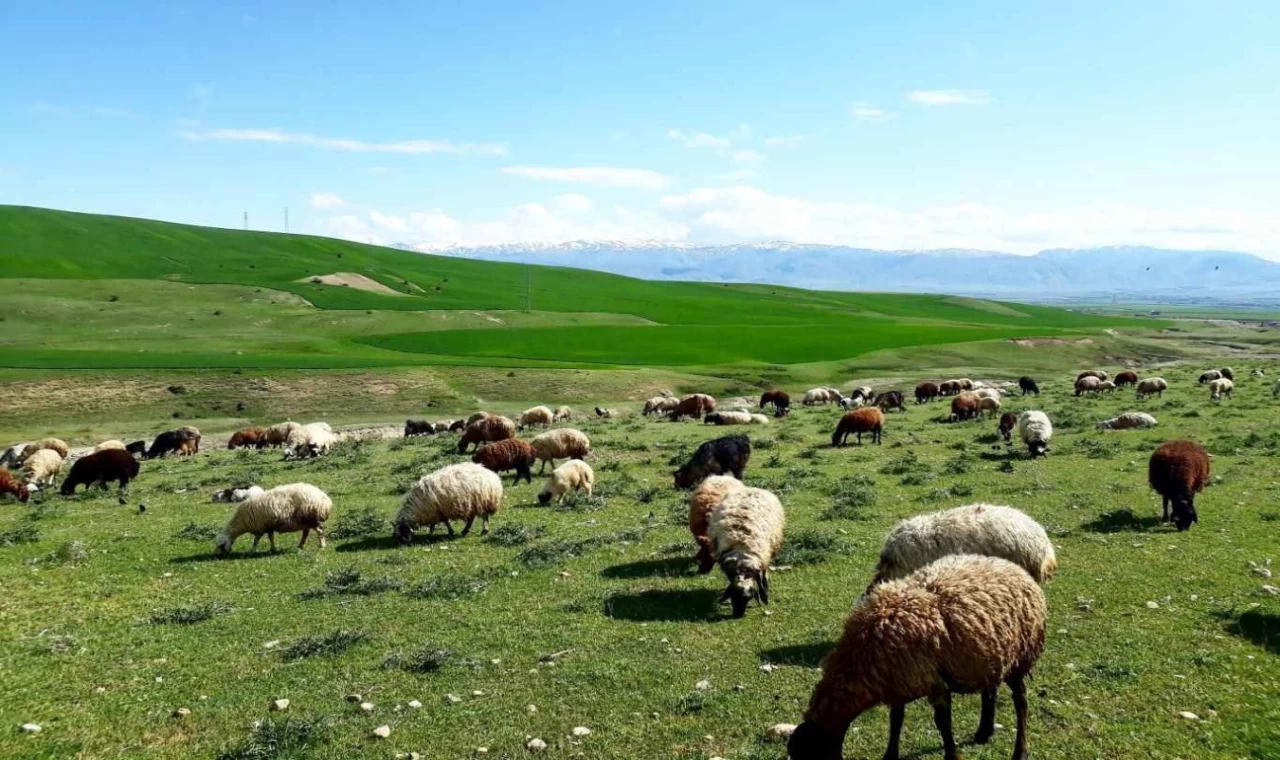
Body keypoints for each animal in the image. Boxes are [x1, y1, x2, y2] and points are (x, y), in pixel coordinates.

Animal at [706, 486, 783, 614]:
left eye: (749, 598)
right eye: (733, 596)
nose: (738, 615)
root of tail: (752, 488)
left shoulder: (761, 562)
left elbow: (761, 581)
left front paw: (765, 595)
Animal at [788, 552, 1049, 757]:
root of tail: (1013, 567)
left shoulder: (935, 683)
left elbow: (943, 725)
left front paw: (952, 755)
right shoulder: (898, 683)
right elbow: (896, 721)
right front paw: (890, 755)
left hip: (1020, 656)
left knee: (1021, 702)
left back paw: (1020, 751)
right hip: (989, 654)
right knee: (990, 690)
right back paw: (984, 732)